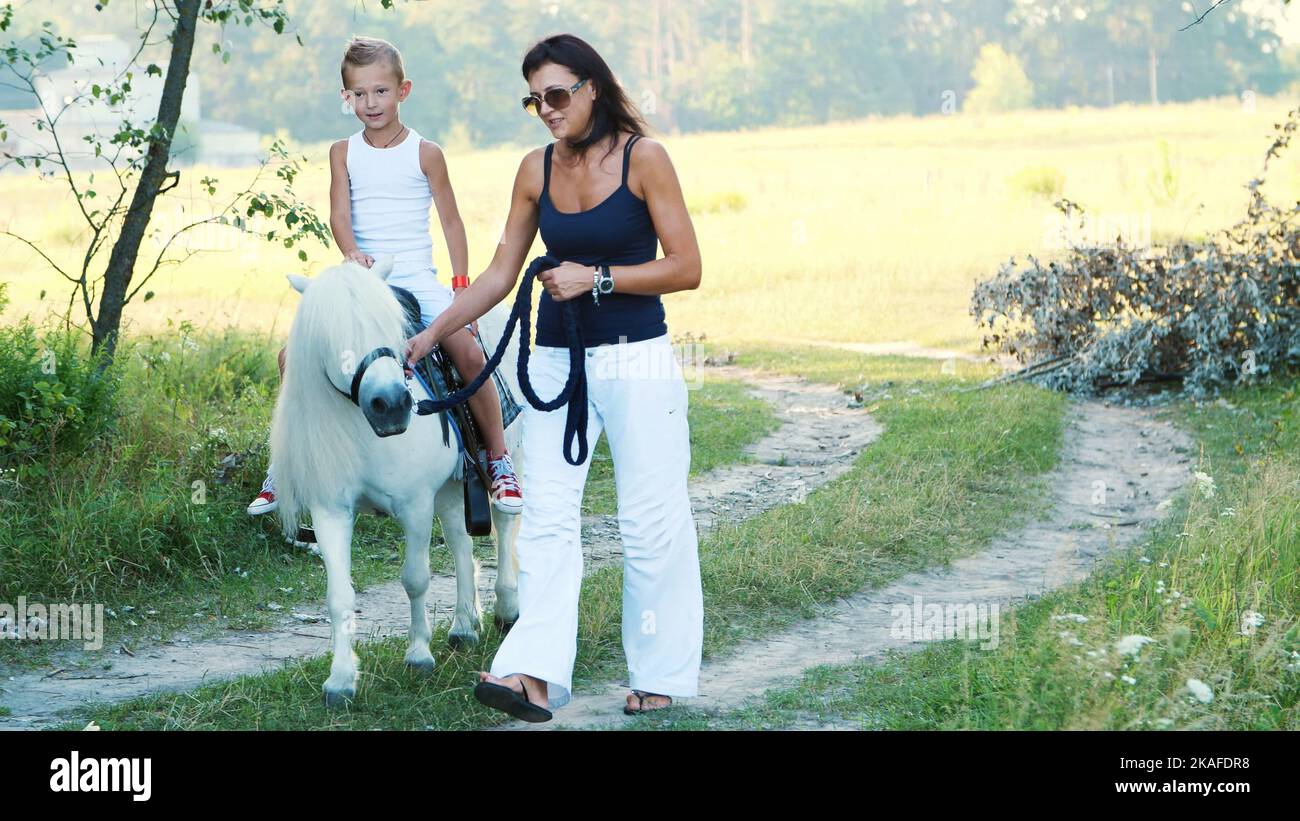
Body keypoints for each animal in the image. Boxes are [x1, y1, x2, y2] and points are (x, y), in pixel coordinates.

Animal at [273, 257, 522, 706]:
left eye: (393, 326)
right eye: (332, 337)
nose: (391, 405)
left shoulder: (415, 503)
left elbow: (415, 578)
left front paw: (418, 655)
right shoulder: (330, 511)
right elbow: (339, 595)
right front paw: (340, 680)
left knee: (507, 522)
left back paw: (507, 610)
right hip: (451, 486)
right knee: (460, 541)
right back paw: (463, 625)